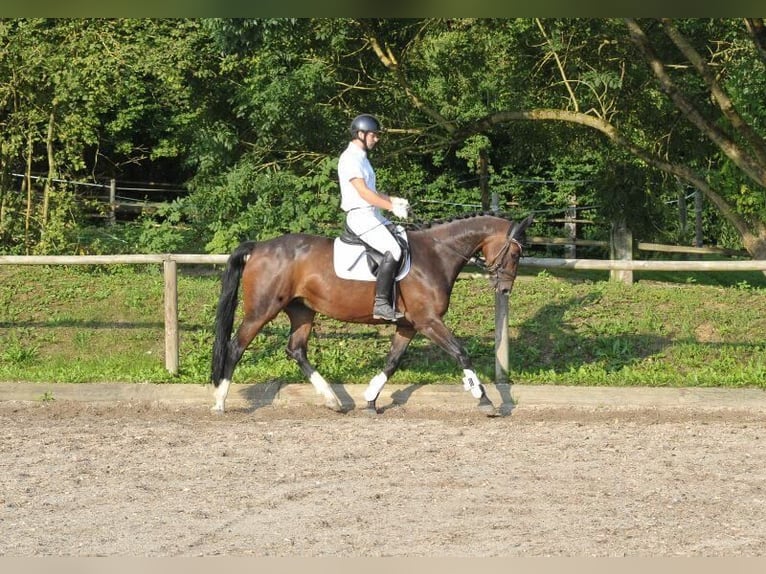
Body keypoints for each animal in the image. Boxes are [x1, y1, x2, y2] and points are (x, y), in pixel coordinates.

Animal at [210, 214, 536, 416]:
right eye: (515, 253)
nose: (505, 289)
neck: (436, 254)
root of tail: (259, 246)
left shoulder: (409, 324)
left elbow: (392, 362)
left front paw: (369, 399)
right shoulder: (429, 321)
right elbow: (461, 353)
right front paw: (484, 399)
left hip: (302, 310)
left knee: (296, 350)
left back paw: (333, 400)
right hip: (262, 309)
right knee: (236, 346)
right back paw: (220, 402)